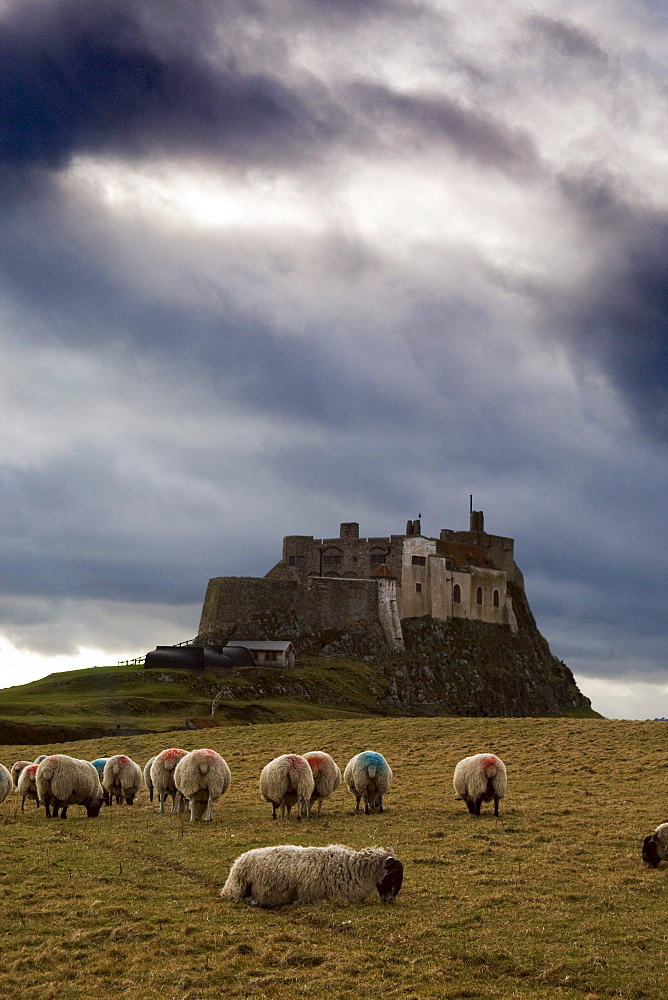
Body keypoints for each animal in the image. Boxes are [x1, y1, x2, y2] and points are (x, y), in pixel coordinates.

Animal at [222, 844, 404, 908]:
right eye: (394, 874)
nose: (390, 899)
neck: (352, 868)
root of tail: (240, 859)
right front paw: (296, 902)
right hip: (237, 887)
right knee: (236, 898)